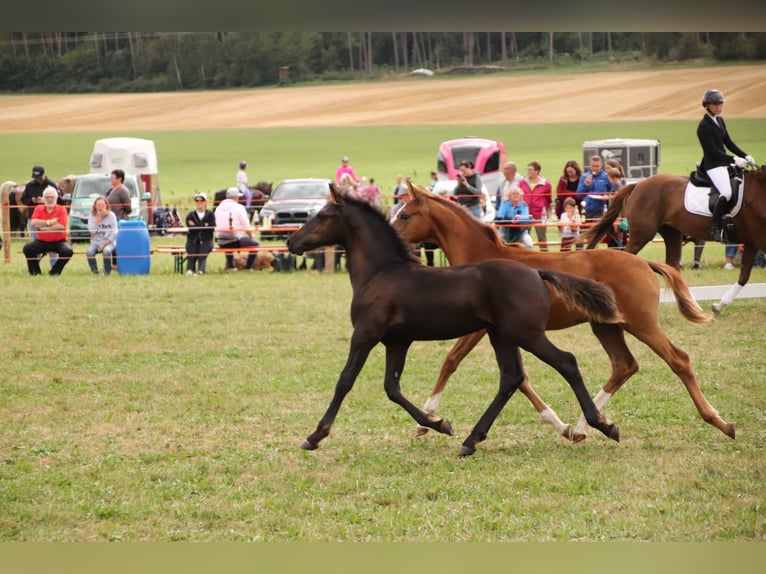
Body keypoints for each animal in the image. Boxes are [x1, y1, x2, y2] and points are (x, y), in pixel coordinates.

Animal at [288, 184, 624, 460]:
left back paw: (601, 425)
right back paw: (471, 440)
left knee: (565, 362)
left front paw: (315, 436)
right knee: (512, 377)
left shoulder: (365, 335)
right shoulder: (397, 341)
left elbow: (345, 380)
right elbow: (391, 388)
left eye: (323, 215)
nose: (291, 241)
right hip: (501, 335)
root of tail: (536, 273)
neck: (380, 273)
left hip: (526, 334)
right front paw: (439, 424)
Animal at [392, 182, 736, 444]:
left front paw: (426, 422)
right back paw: (588, 425)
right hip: (606, 326)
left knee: (678, 359)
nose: (392, 241)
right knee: (624, 365)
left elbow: (452, 361)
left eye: (405, 214)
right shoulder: (506, 332)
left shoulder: (482, 329)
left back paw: (720, 422)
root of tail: (642, 262)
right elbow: (519, 378)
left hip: (642, 324)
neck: (483, 257)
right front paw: (563, 426)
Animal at [584, 164, 764, 318]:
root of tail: (638, 184)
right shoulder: (759, 240)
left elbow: (744, 276)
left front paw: (718, 306)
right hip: (643, 234)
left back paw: (694, 308)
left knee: (673, 266)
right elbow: (745, 275)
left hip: (672, 233)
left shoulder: (752, 242)